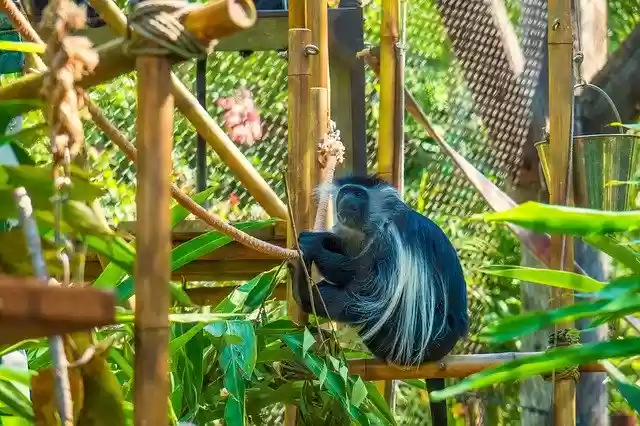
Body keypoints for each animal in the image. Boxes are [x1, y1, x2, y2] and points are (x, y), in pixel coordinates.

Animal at [293, 174, 469, 426]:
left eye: (358, 193)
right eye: (345, 191)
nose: (346, 198)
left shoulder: (389, 240)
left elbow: (369, 285)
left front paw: (314, 244)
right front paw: (326, 238)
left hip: (411, 339)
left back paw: (304, 294)